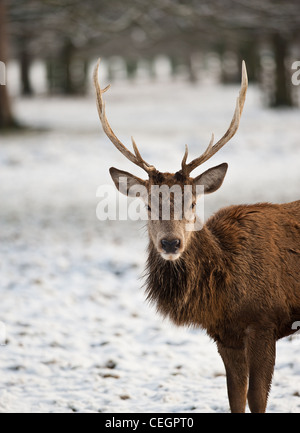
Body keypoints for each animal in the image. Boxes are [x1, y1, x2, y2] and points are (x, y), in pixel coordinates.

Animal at [93, 58, 300, 412]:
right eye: (148, 204)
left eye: (191, 202)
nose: (170, 242)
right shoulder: (225, 335)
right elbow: (235, 398)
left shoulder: (264, 322)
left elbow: (256, 399)